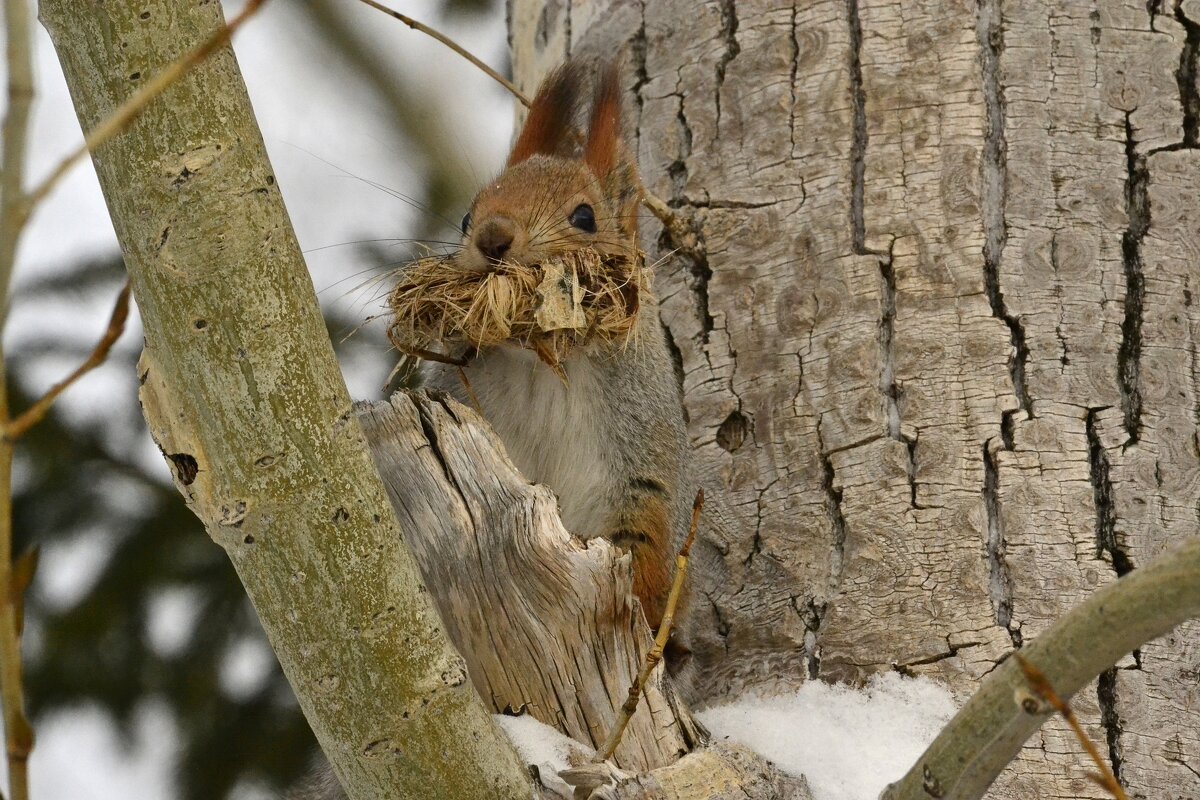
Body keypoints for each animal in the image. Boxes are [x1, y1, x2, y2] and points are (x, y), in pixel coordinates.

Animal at [424, 61, 696, 638]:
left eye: (585, 217)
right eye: (465, 218)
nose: (492, 237)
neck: (543, 367)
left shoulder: (646, 475)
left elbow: (648, 561)